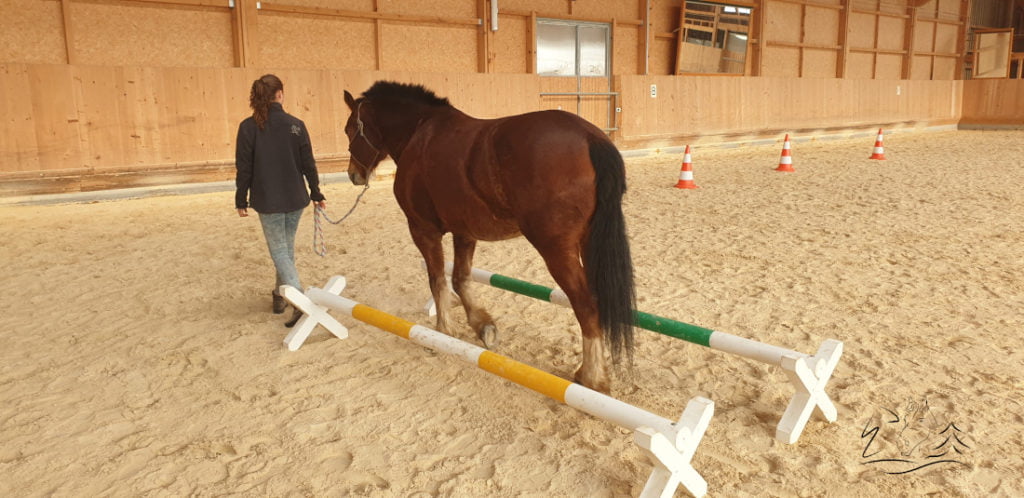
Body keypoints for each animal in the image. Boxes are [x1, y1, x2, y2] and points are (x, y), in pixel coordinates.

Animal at [342, 81, 635, 393]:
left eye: (350, 128)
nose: (353, 174)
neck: (420, 133)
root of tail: (590, 138)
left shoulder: (422, 229)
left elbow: (437, 280)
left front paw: (443, 331)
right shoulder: (464, 231)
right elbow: (460, 279)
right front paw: (482, 325)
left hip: (557, 249)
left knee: (586, 306)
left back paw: (592, 377)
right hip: (588, 244)